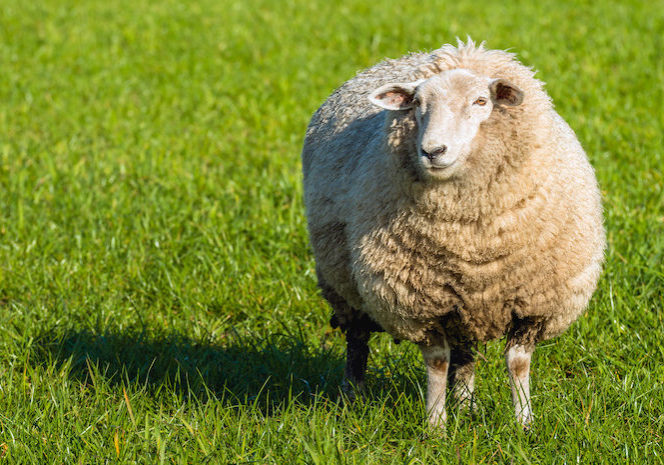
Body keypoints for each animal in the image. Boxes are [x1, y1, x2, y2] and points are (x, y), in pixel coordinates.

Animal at [301, 40, 605, 428]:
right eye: (417, 103)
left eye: (481, 101)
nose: (433, 151)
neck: (472, 237)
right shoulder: (418, 302)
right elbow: (436, 362)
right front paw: (436, 426)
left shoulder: (536, 302)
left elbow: (517, 362)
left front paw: (524, 423)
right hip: (343, 285)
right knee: (357, 339)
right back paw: (352, 396)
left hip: (466, 303)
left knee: (464, 352)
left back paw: (465, 403)